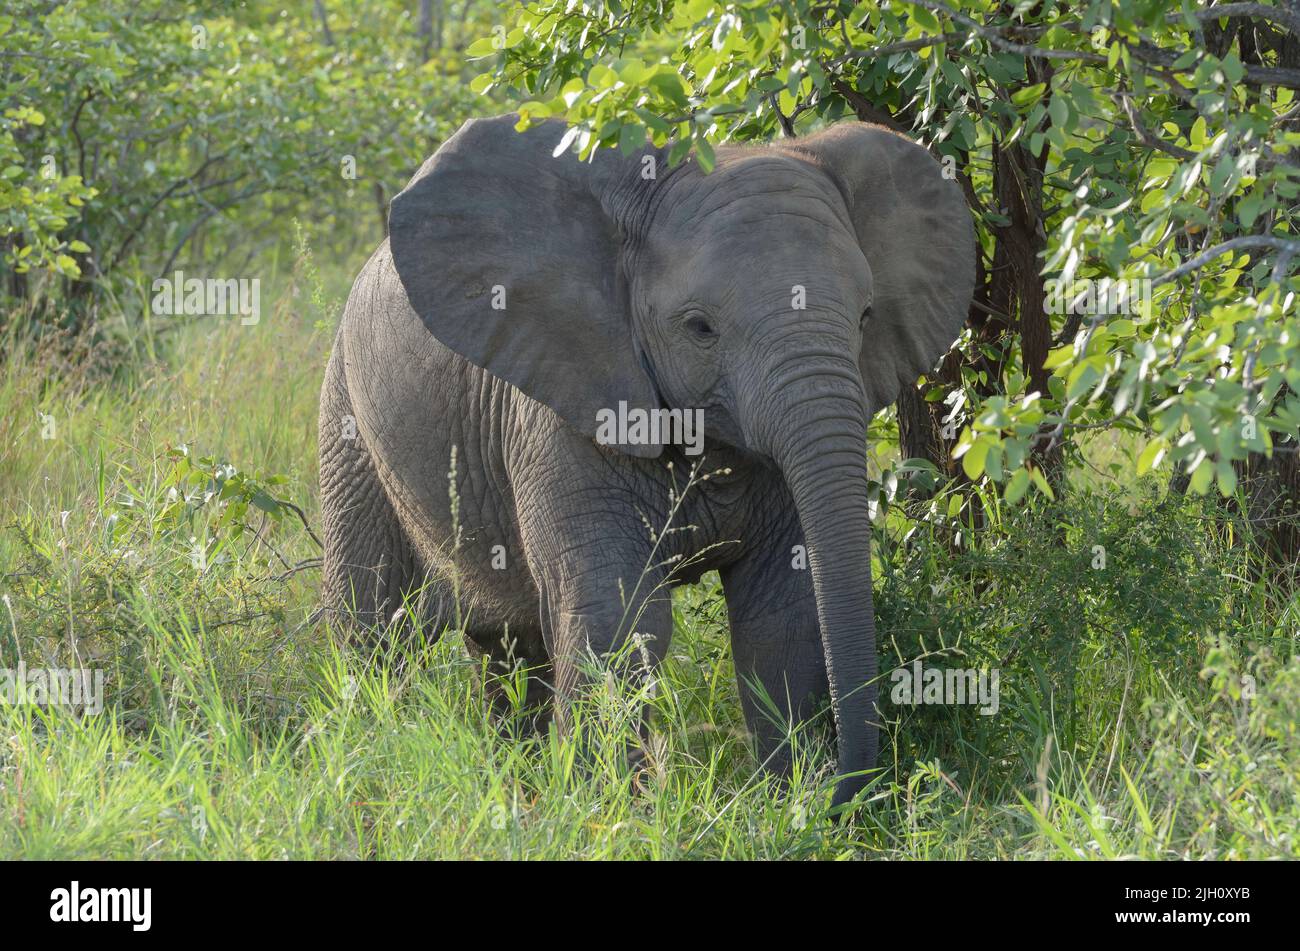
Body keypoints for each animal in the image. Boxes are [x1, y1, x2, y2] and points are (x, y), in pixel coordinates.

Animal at [319, 113, 977, 810]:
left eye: (866, 316)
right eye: (699, 327)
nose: (853, 793)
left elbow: (782, 616)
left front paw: (786, 805)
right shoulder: (563, 409)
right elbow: (619, 614)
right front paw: (610, 814)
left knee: (508, 649)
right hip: (346, 420)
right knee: (372, 631)